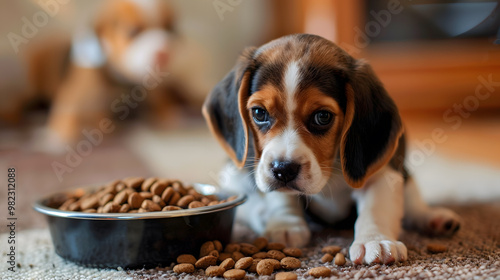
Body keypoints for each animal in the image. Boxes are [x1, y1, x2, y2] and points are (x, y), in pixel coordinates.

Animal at [203, 34, 460, 264]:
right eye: (259, 113)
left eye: (323, 117)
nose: (283, 169)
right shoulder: (261, 167)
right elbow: (280, 197)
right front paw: (285, 224)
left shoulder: (383, 174)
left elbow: (375, 208)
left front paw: (375, 241)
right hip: (234, 172)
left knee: (413, 199)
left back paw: (434, 218)